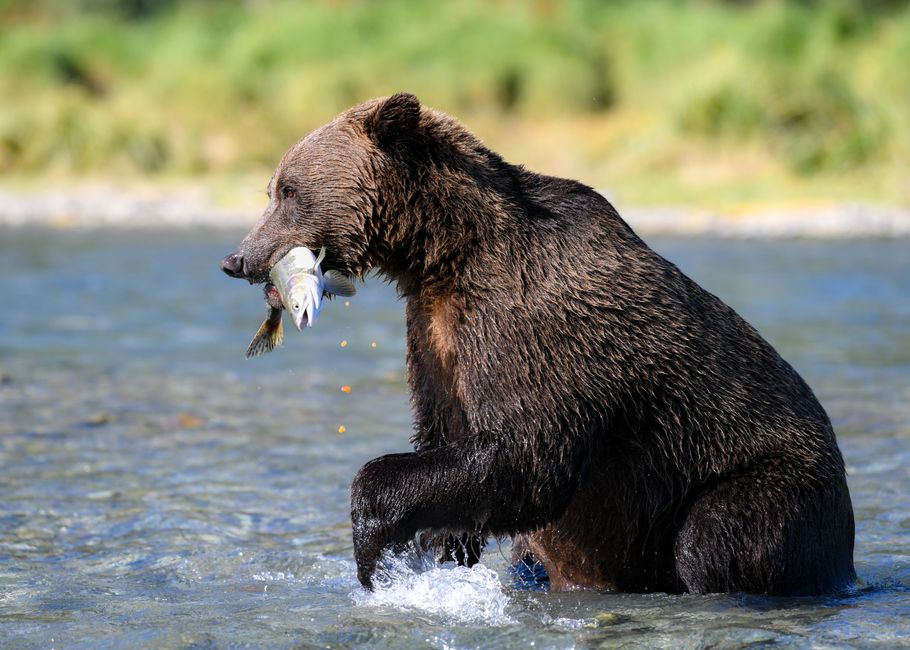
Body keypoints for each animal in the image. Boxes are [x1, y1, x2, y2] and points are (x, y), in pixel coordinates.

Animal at [221, 92, 856, 595]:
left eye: (289, 190)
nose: (237, 258)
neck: (445, 253)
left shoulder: (534, 323)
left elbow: (529, 455)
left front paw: (373, 540)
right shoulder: (434, 336)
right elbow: (448, 440)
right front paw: (433, 549)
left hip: (762, 480)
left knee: (715, 536)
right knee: (532, 556)